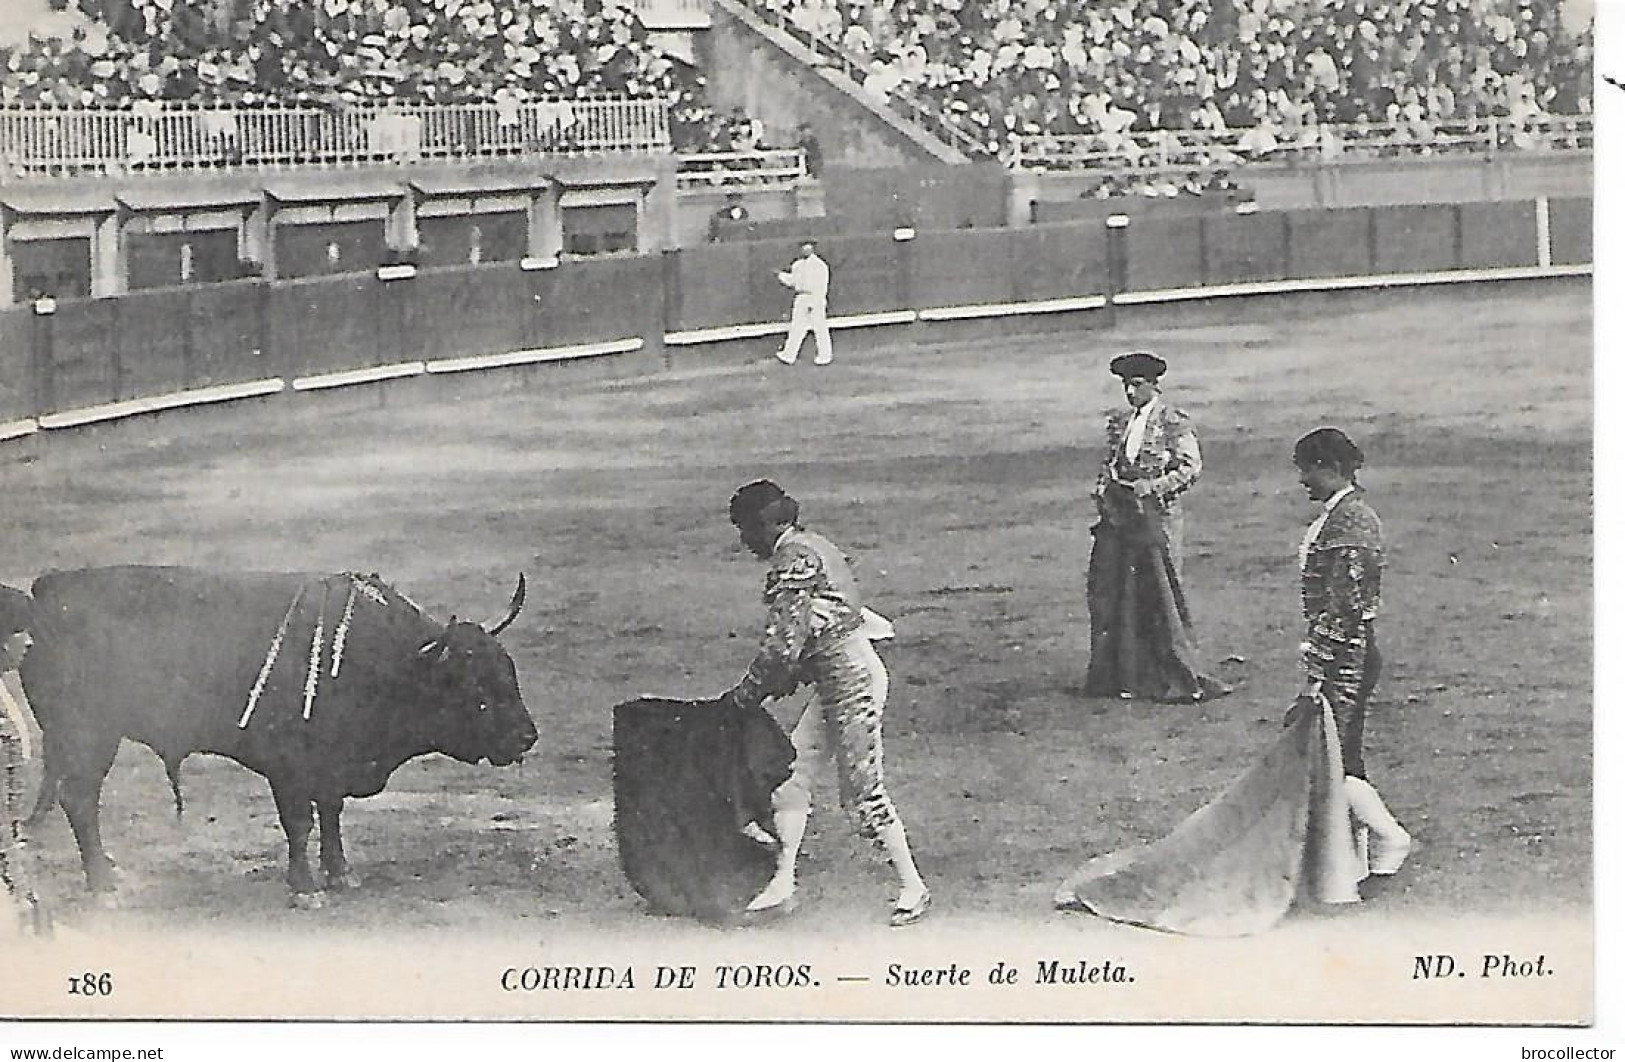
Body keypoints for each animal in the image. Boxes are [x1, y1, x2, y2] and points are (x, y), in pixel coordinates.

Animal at [19, 565, 536, 909]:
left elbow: (331, 814)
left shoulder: (329, 768)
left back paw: (109, 871)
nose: (527, 737)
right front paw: (304, 887)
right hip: (87, 738)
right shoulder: (287, 769)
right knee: (80, 799)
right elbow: (300, 823)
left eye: (509, 672)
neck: (382, 661)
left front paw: (339, 873)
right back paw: (103, 883)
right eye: (476, 689)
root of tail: (47, 591)